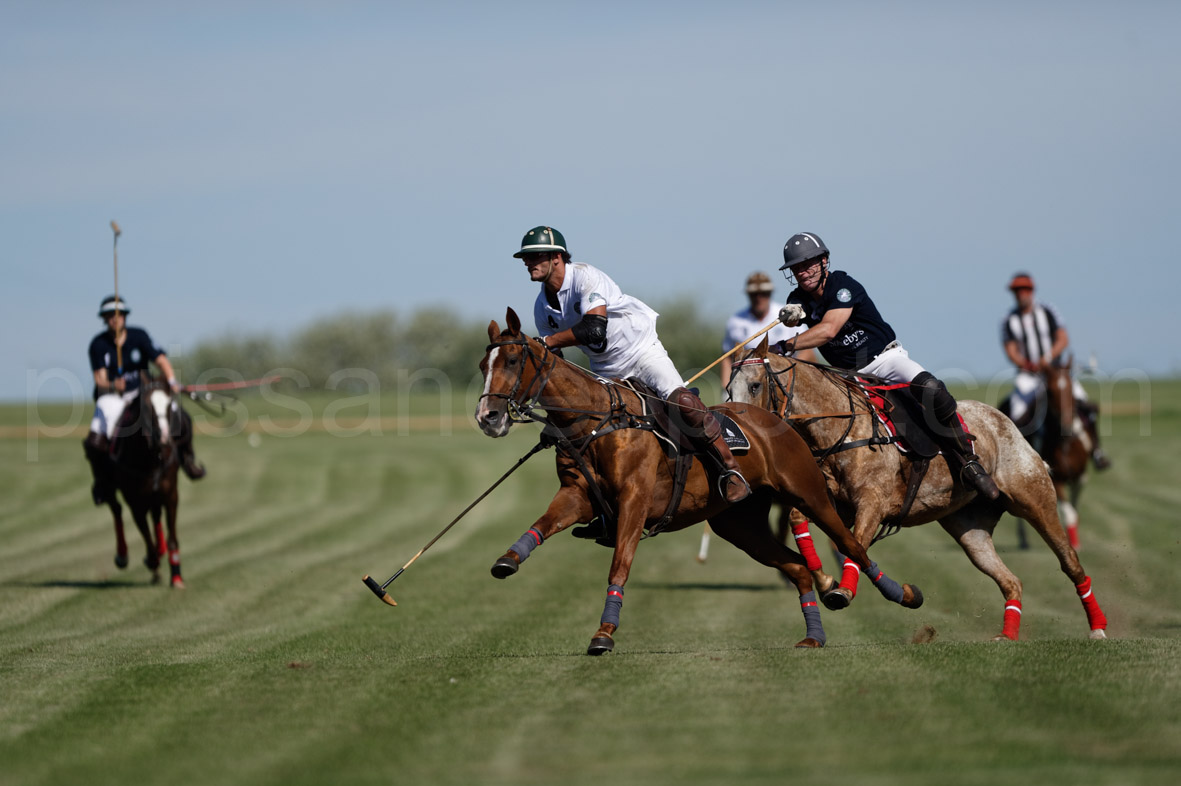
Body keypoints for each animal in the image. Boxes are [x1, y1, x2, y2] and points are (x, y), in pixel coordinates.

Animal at [103, 376, 188, 587]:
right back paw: (124, 556)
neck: (150, 458)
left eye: (169, 404)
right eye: (147, 406)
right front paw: (152, 561)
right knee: (115, 508)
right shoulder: (135, 502)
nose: (164, 437)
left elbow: (172, 537)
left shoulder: (170, 495)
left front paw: (176, 576)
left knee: (155, 516)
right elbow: (147, 539)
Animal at [474, 308, 921, 655]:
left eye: (512, 361)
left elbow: (620, 566)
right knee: (796, 567)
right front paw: (506, 561)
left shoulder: (634, 501)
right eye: (483, 366)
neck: (599, 421)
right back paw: (814, 636)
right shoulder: (578, 495)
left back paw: (899, 594)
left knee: (851, 545)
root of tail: (775, 417)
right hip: (737, 523)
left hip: (809, 493)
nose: (487, 418)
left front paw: (604, 634)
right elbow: (541, 525)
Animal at [1043, 359, 1091, 549]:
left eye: (1071, 388)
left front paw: (1075, 542)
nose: (1067, 423)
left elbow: (1074, 509)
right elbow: (1068, 512)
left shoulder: (1080, 477)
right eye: (1050, 391)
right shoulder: (1056, 479)